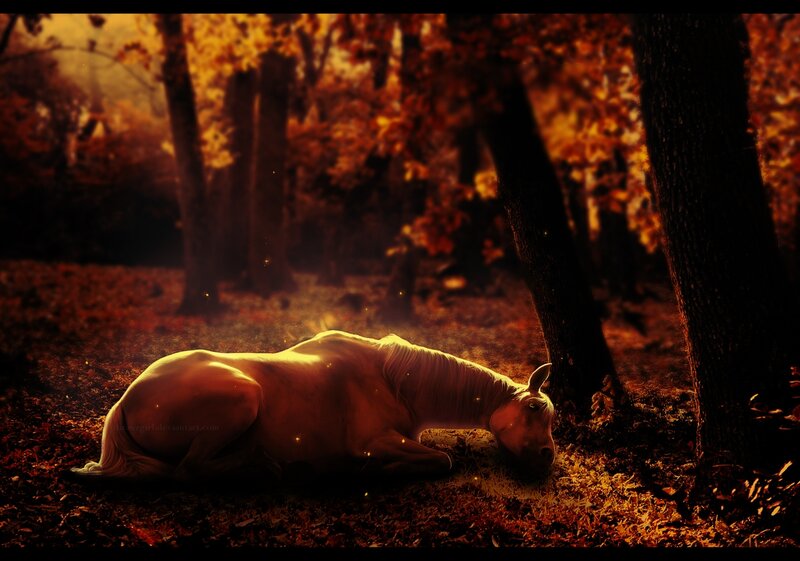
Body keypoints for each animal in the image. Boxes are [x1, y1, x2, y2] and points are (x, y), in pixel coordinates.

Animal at [71, 330, 556, 482]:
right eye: (535, 411)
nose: (548, 457)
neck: (392, 379)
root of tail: (126, 398)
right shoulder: (373, 440)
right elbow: (443, 460)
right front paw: (378, 471)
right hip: (242, 398)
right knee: (189, 470)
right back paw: (263, 468)